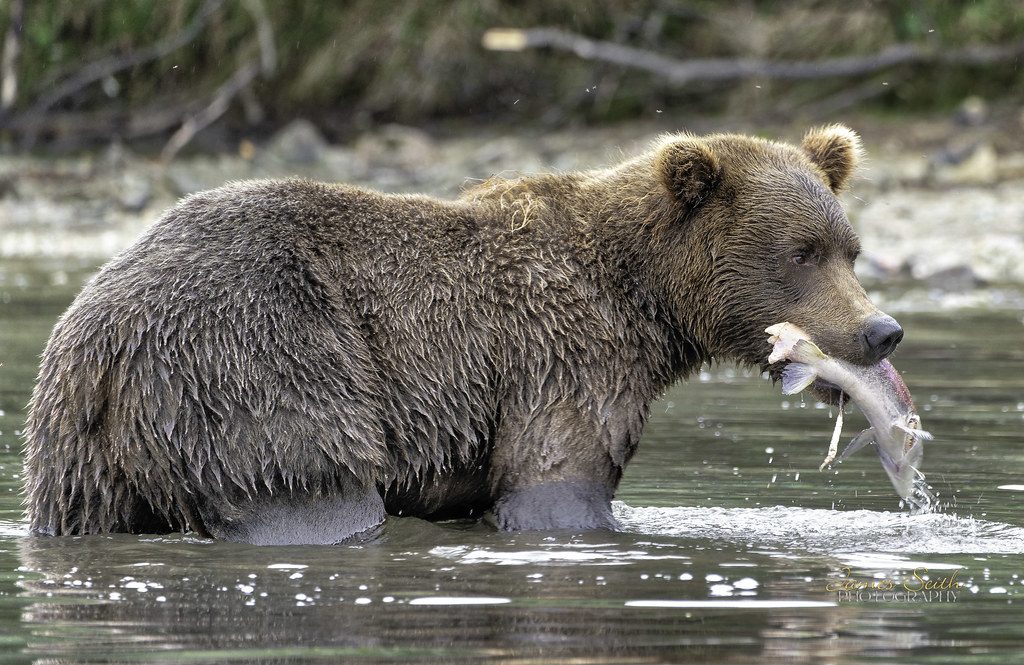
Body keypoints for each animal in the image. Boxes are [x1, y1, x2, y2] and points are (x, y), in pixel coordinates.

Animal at [24, 125, 904, 545]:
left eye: (851, 247)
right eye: (800, 252)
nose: (880, 330)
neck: (646, 300)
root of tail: (102, 335)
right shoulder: (564, 354)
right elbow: (556, 481)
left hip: (79, 453)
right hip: (258, 357)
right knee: (308, 482)